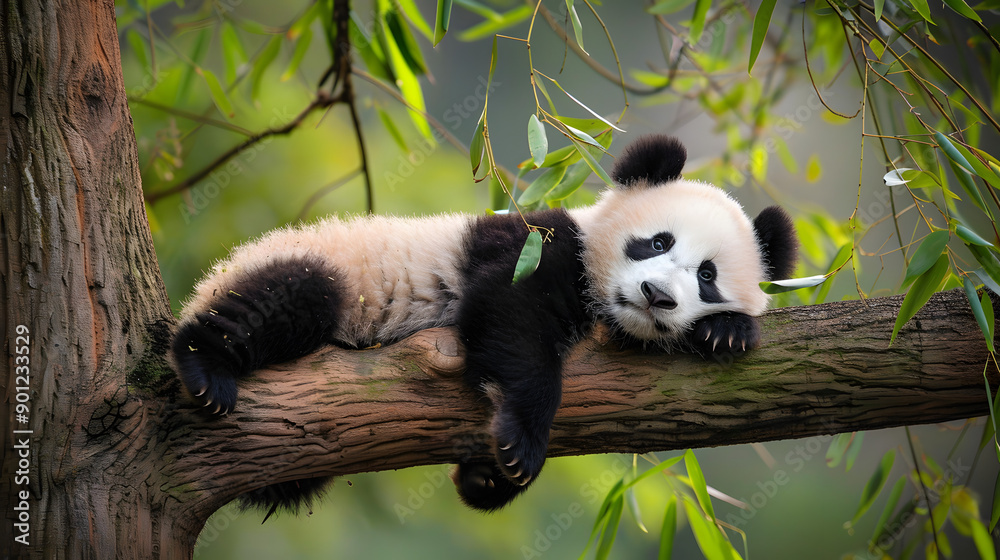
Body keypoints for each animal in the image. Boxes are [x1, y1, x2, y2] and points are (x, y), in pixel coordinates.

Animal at [170, 134, 797, 515]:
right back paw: (204, 368)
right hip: (316, 271)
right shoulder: (541, 245)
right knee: (286, 299)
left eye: (708, 276)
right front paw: (521, 443)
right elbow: (507, 315)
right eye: (657, 242)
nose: (658, 296)